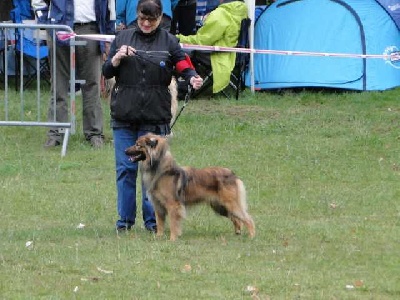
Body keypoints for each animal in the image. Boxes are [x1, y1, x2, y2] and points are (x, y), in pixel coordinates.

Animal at [125, 134, 256, 241]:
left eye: (138, 145)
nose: (125, 150)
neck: (160, 169)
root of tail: (232, 174)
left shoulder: (173, 205)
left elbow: (173, 223)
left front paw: (173, 239)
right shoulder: (158, 205)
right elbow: (160, 223)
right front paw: (159, 237)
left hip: (230, 204)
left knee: (247, 218)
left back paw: (251, 236)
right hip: (220, 206)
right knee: (237, 219)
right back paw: (237, 233)